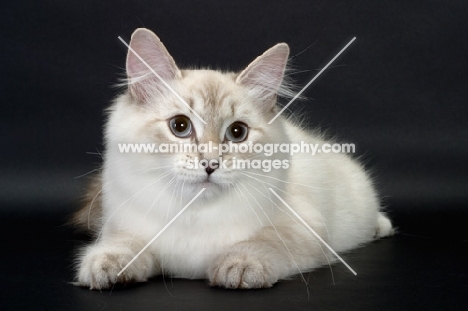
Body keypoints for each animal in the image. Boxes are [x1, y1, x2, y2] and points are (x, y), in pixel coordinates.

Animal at [73, 28, 394, 292]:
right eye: (180, 126)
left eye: (237, 133)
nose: (210, 164)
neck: (194, 215)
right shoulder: (125, 228)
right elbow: (122, 246)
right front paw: (105, 266)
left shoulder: (301, 229)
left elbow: (260, 244)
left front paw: (238, 267)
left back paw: (382, 227)